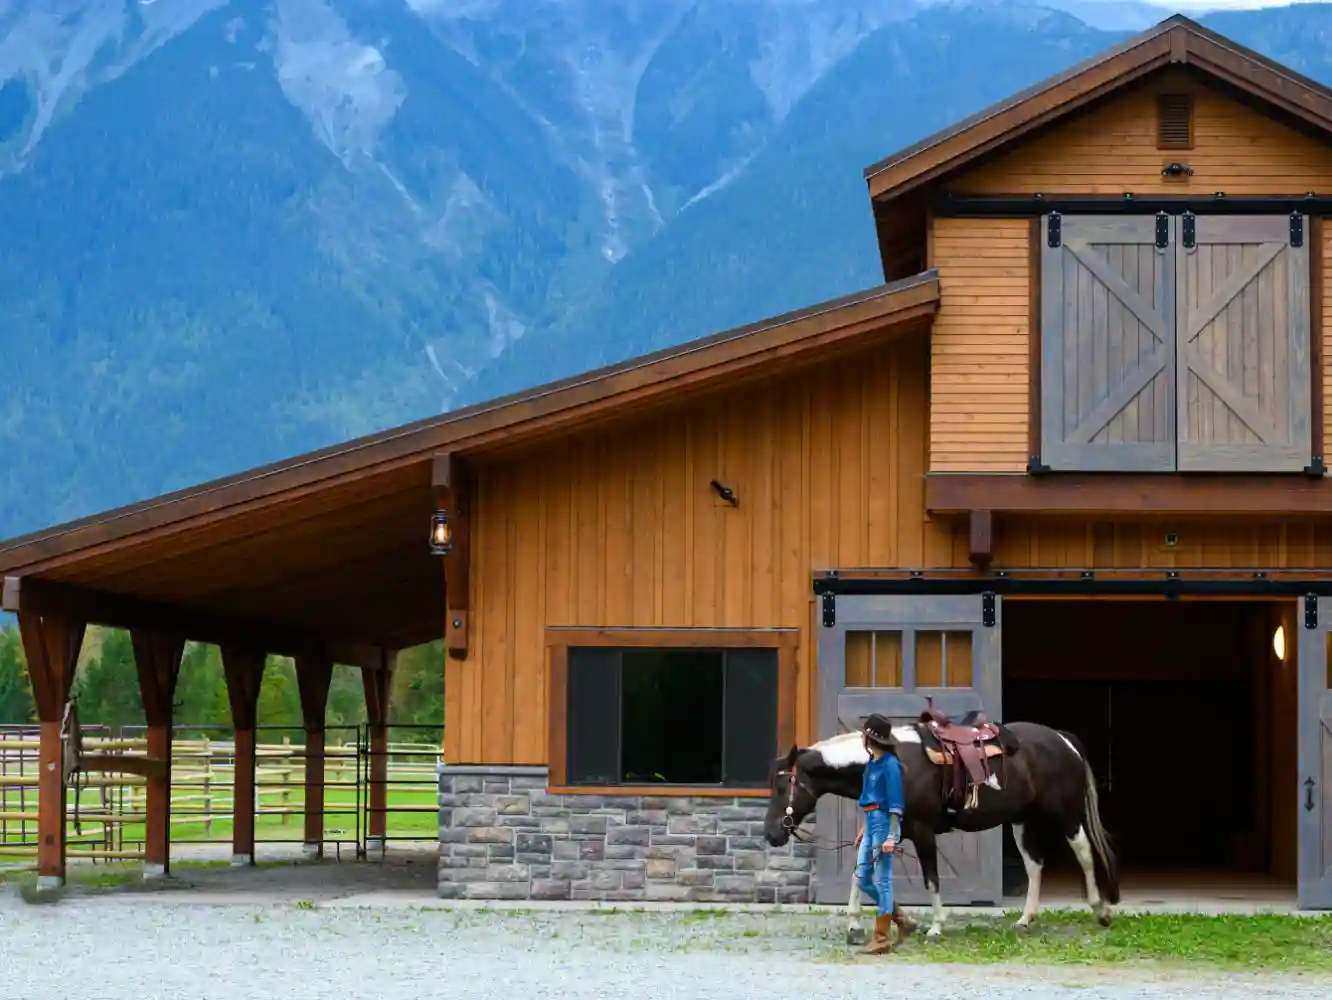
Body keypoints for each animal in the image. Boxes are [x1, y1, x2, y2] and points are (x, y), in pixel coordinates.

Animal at [763, 719, 1119, 941]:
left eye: (782, 787)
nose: (771, 835)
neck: (893, 763)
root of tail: (1062, 739)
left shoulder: (922, 831)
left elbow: (931, 878)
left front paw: (935, 926)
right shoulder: (890, 829)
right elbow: (859, 872)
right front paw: (855, 923)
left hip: (1067, 816)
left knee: (1085, 853)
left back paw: (1100, 910)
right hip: (1022, 820)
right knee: (1035, 866)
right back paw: (1025, 919)